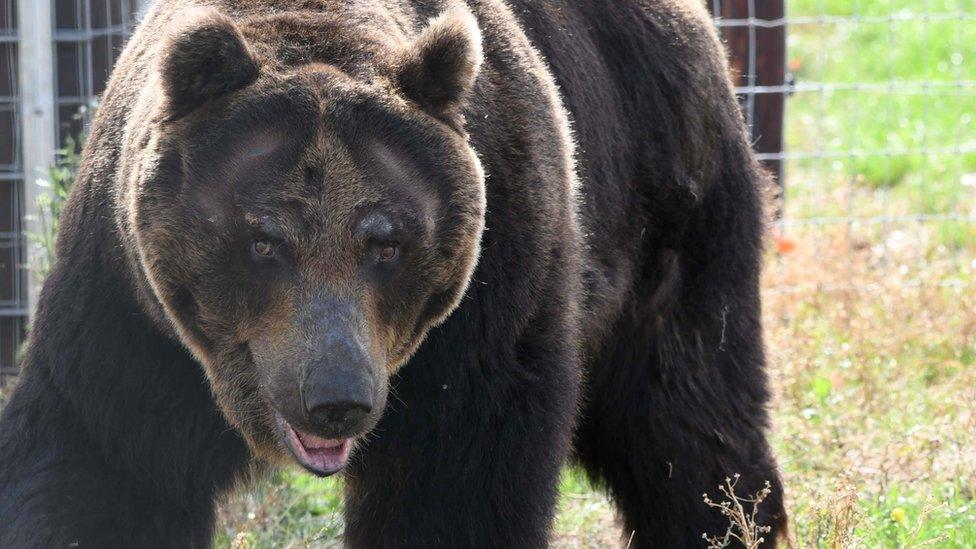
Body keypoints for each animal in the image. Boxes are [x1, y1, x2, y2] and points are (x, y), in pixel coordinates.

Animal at [0, 0, 780, 544]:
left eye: (387, 242)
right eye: (264, 239)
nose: (336, 398)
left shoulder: (488, 299)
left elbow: (455, 484)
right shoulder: (132, 315)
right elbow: (102, 472)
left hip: (668, 211)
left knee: (688, 418)